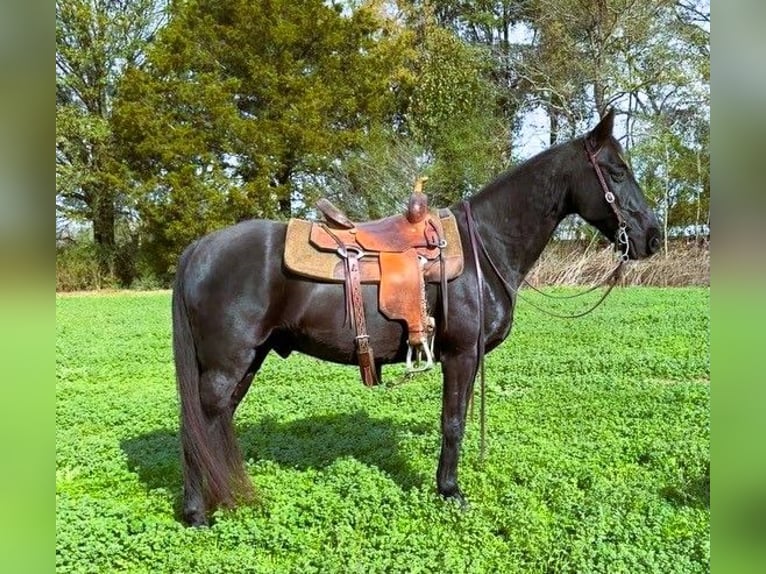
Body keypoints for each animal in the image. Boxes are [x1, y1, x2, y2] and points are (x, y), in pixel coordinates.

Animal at [172, 108, 660, 528]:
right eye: (617, 171)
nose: (652, 237)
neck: (486, 244)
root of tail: (198, 249)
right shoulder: (461, 355)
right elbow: (453, 423)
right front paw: (450, 491)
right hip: (227, 365)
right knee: (198, 425)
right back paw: (198, 512)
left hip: (246, 363)